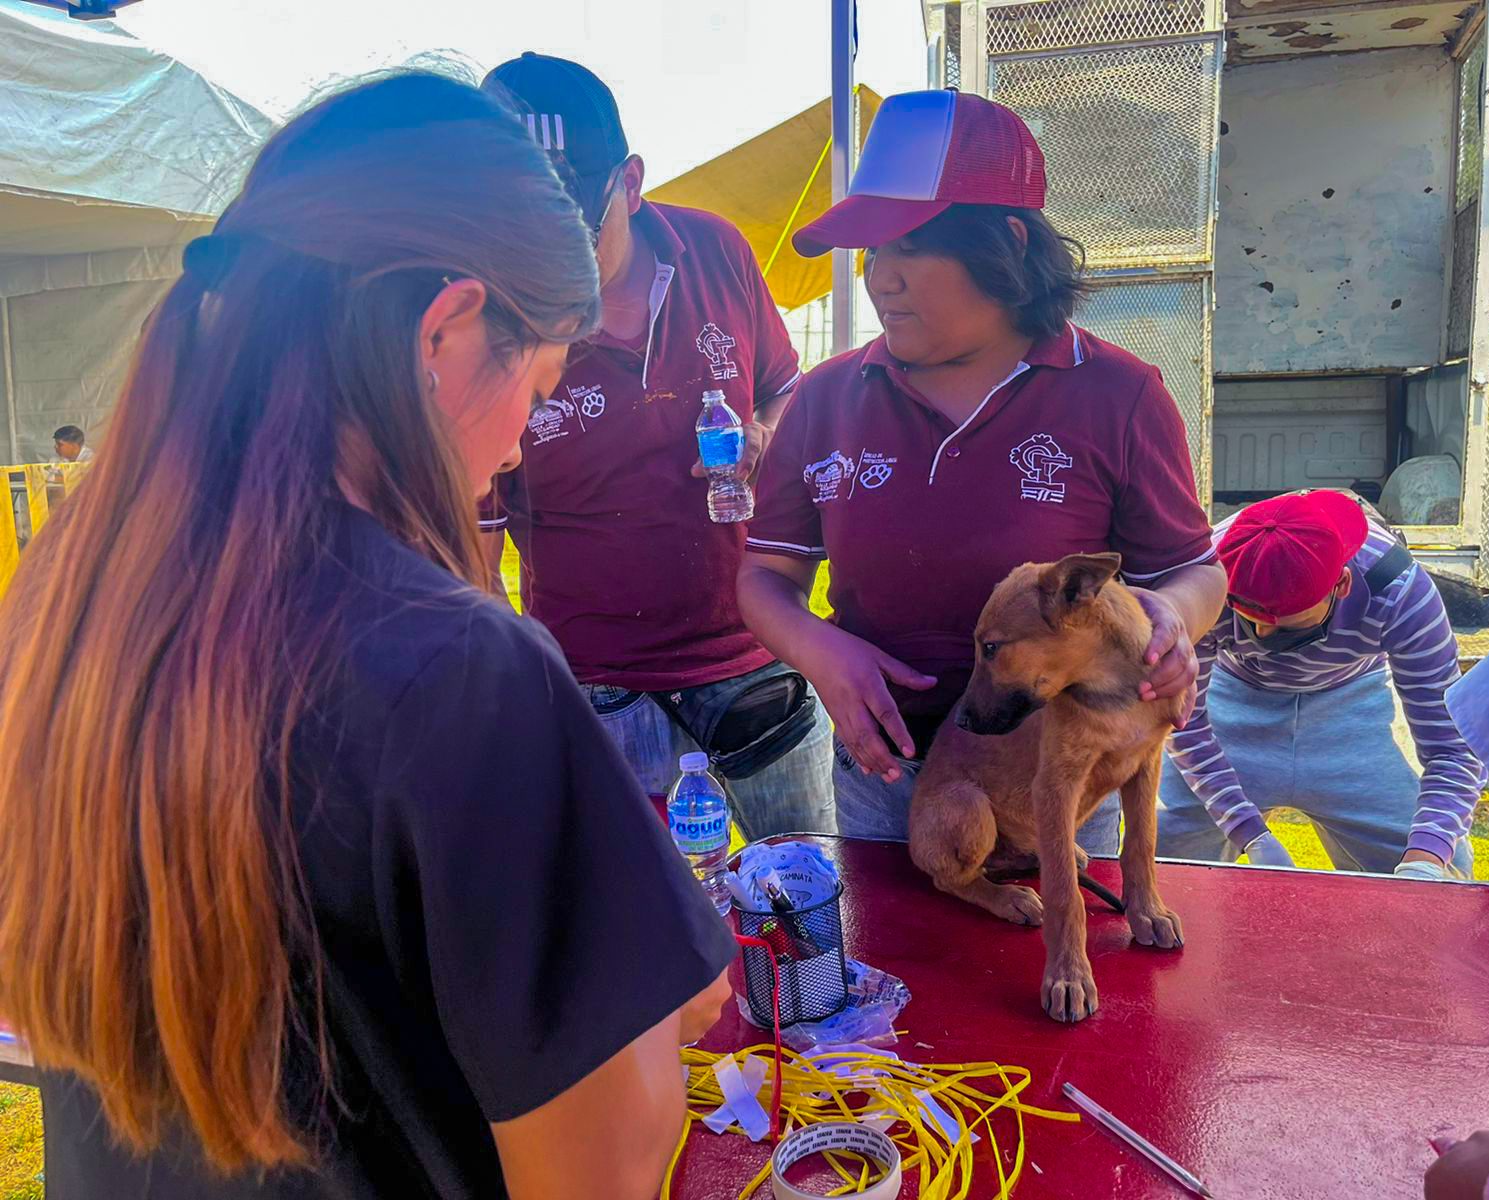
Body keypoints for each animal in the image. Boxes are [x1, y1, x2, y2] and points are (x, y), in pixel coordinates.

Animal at [905, 553, 1185, 1024]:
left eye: (991, 647)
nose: (960, 722)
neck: (1111, 693)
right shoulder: (1055, 785)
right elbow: (1064, 894)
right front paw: (1068, 977)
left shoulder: (1147, 763)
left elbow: (1141, 845)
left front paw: (1148, 912)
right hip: (969, 807)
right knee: (952, 879)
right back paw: (1008, 897)